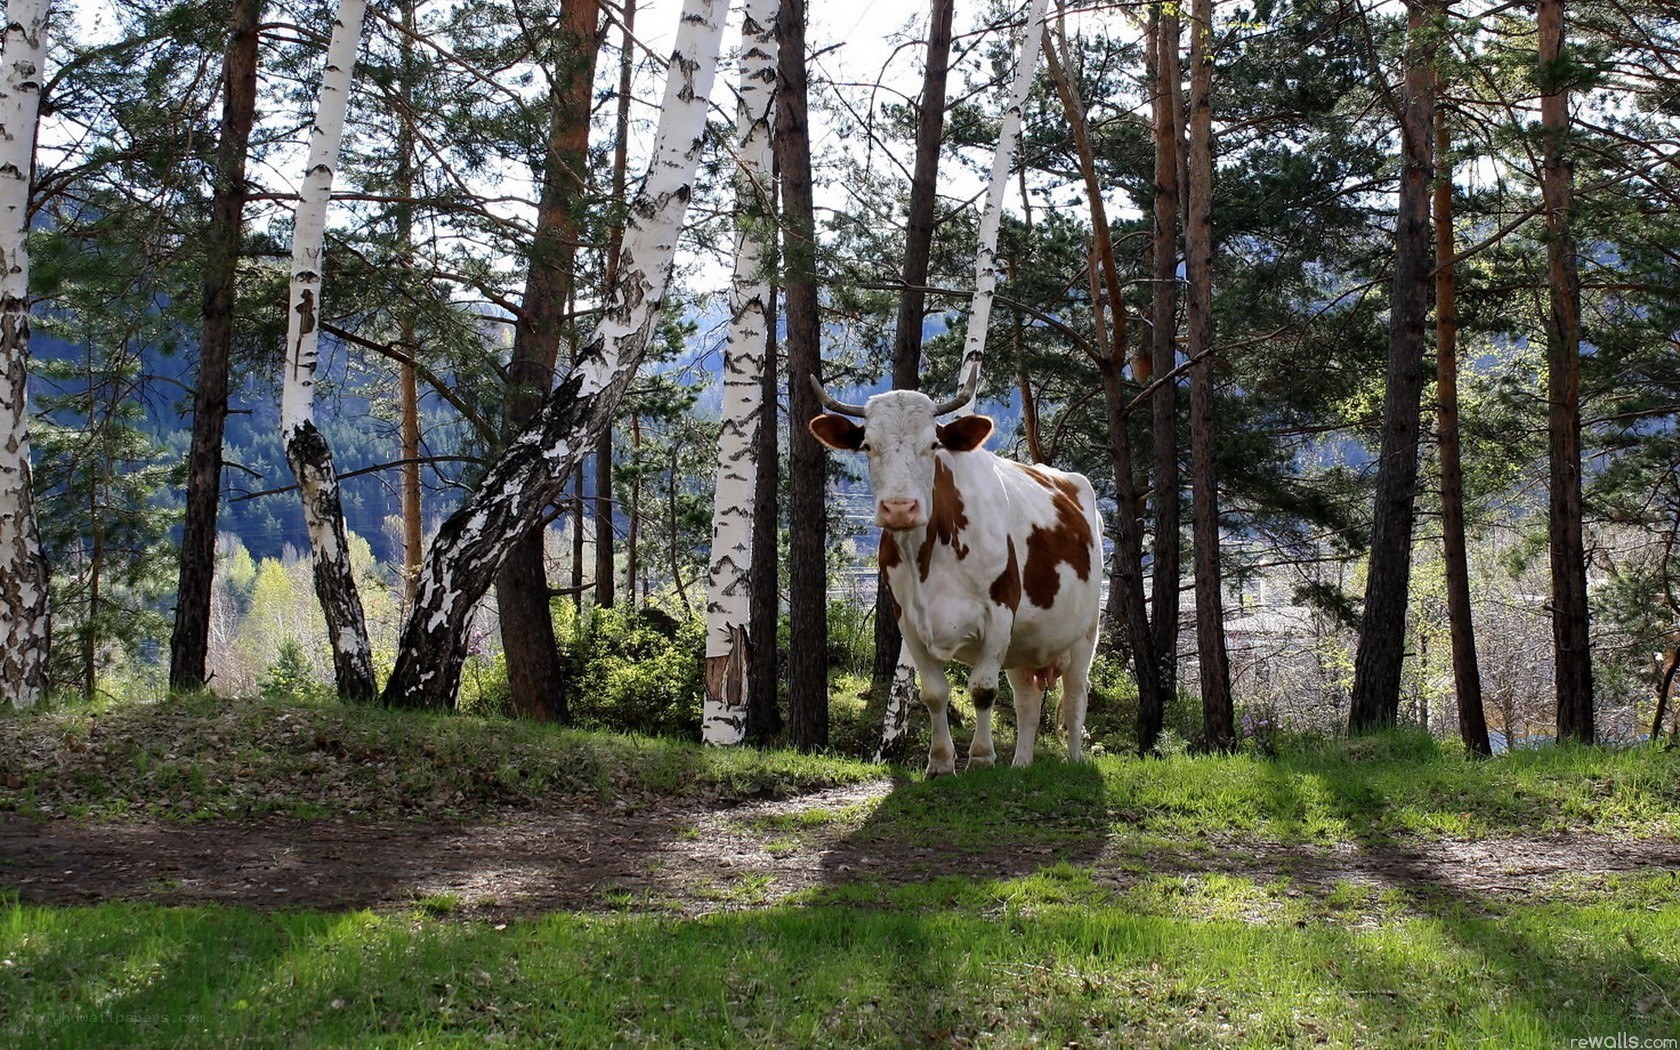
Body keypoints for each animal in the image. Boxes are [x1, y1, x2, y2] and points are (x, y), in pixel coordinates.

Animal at [808, 377, 1104, 776]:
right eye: (867, 445)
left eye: (933, 444)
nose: (899, 508)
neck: (928, 561)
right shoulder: (908, 621)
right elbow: (934, 692)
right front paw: (940, 762)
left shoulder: (1000, 612)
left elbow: (982, 688)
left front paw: (980, 758)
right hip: (1024, 643)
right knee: (1027, 701)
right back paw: (1021, 765)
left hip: (1085, 632)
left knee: (1074, 696)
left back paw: (1072, 760)